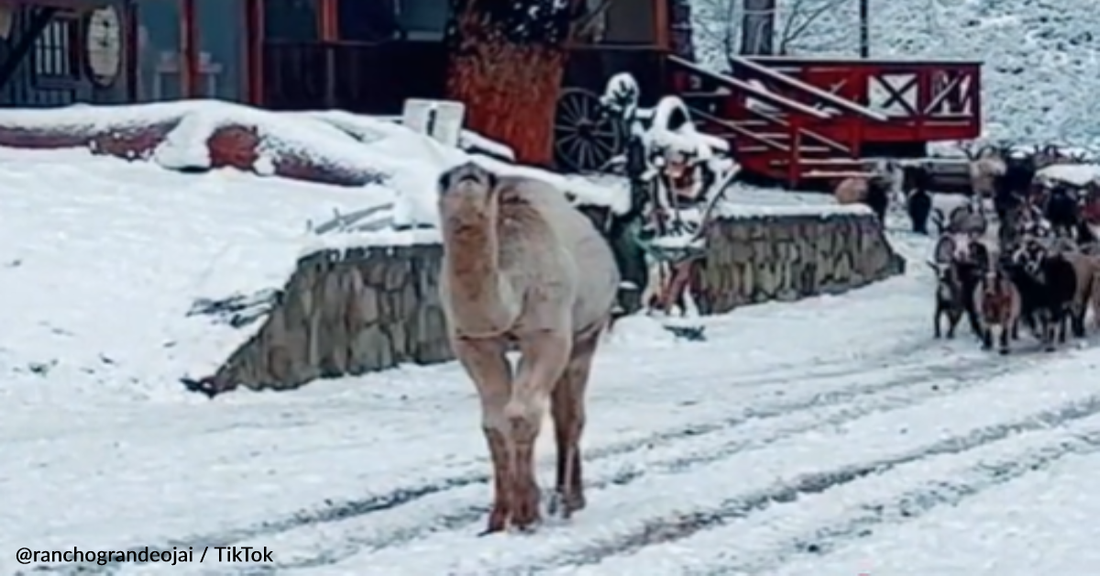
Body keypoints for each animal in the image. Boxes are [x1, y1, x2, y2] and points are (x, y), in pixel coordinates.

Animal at [435, 159, 624, 534]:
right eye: (444, 177)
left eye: (488, 176)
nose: (469, 172)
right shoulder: (474, 342)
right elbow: (494, 423)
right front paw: (497, 518)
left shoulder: (546, 333)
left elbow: (522, 415)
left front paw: (526, 514)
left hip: (587, 332)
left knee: (570, 415)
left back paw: (566, 502)